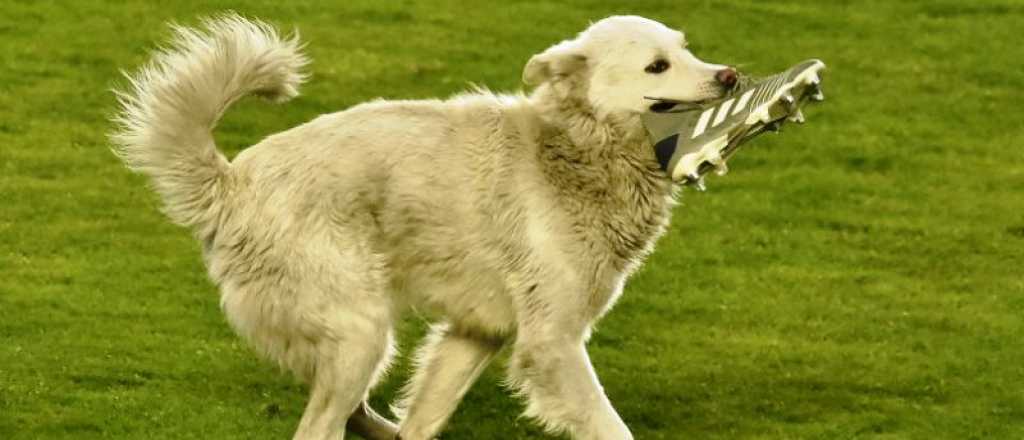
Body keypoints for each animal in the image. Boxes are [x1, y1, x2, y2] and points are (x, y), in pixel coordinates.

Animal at [110, 12, 737, 437]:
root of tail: (231, 183)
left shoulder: (474, 331)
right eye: (657, 66)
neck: (573, 151)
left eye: (687, 50)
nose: (730, 77)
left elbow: (425, 415)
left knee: (356, 415)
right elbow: (610, 426)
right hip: (361, 332)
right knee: (320, 428)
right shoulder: (552, 342)